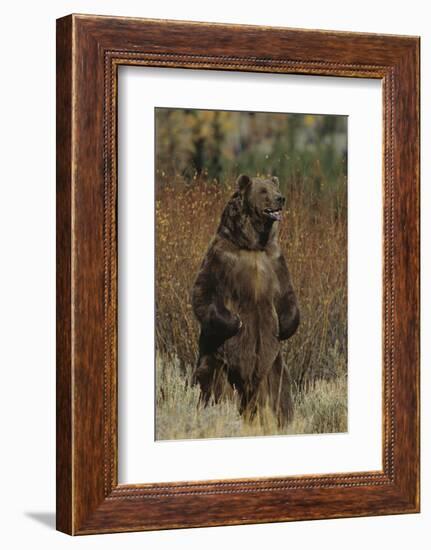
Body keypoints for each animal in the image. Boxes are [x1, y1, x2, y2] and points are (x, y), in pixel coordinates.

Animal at [192, 175, 300, 424]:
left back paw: (280, 420)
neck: (253, 244)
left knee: (278, 392)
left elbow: (287, 294)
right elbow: (204, 291)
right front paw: (237, 321)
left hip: (271, 362)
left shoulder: (274, 261)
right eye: (263, 191)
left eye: (275, 187)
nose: (281, 198)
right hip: (218, 358)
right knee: (212, 387)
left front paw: (285, 327)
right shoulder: (222, 257)